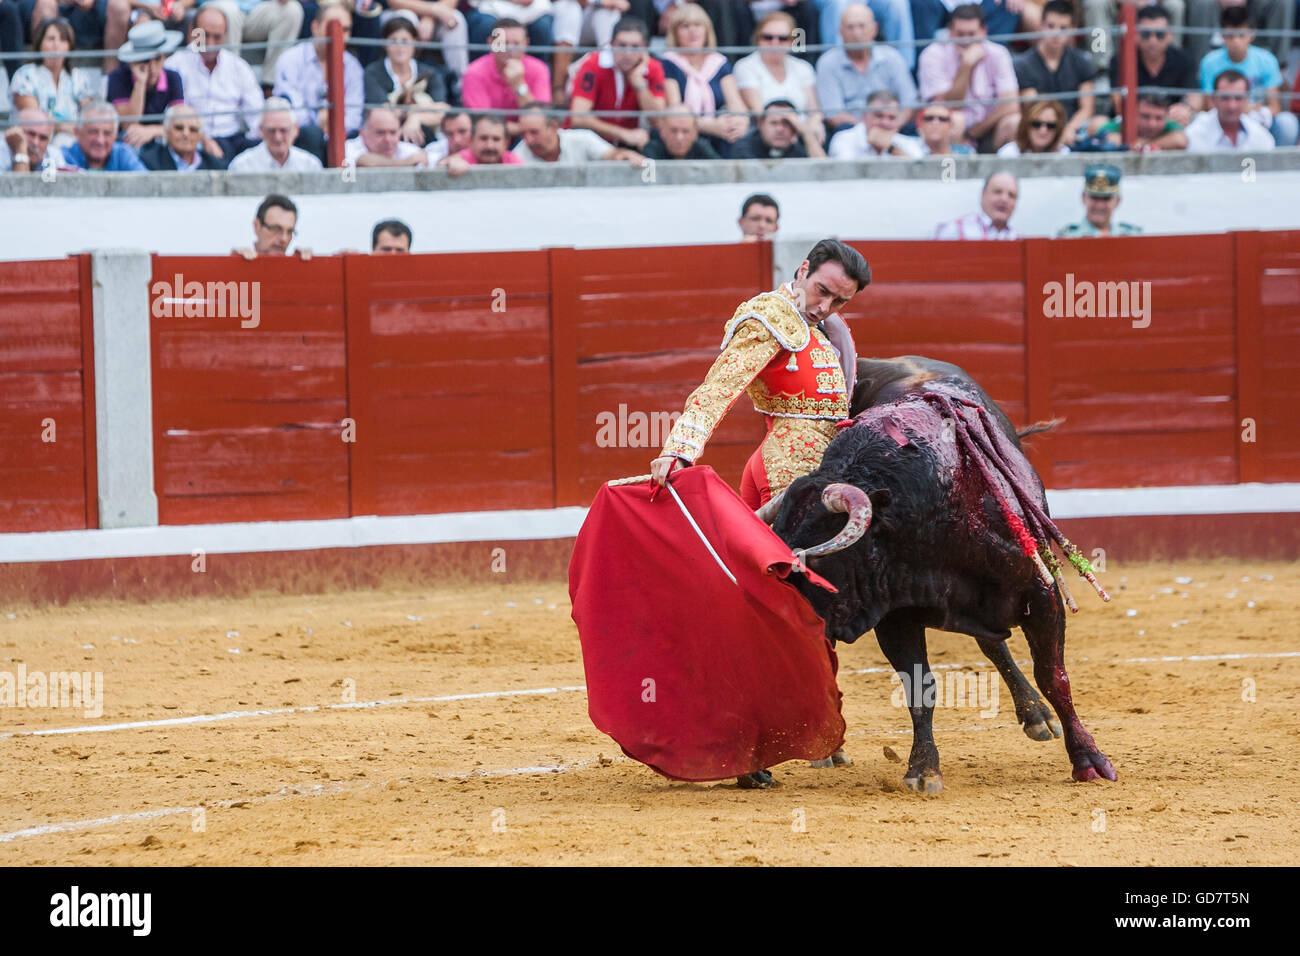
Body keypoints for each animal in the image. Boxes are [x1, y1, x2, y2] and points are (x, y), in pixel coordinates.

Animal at [769, 356, 1118, 796]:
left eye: (811, 561)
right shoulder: (894, 616)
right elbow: (920, 688)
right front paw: (923, 769)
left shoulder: (1041, 593)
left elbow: (1054, 676)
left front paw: (1089, 760)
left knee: (998, 646)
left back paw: (1039, 717)